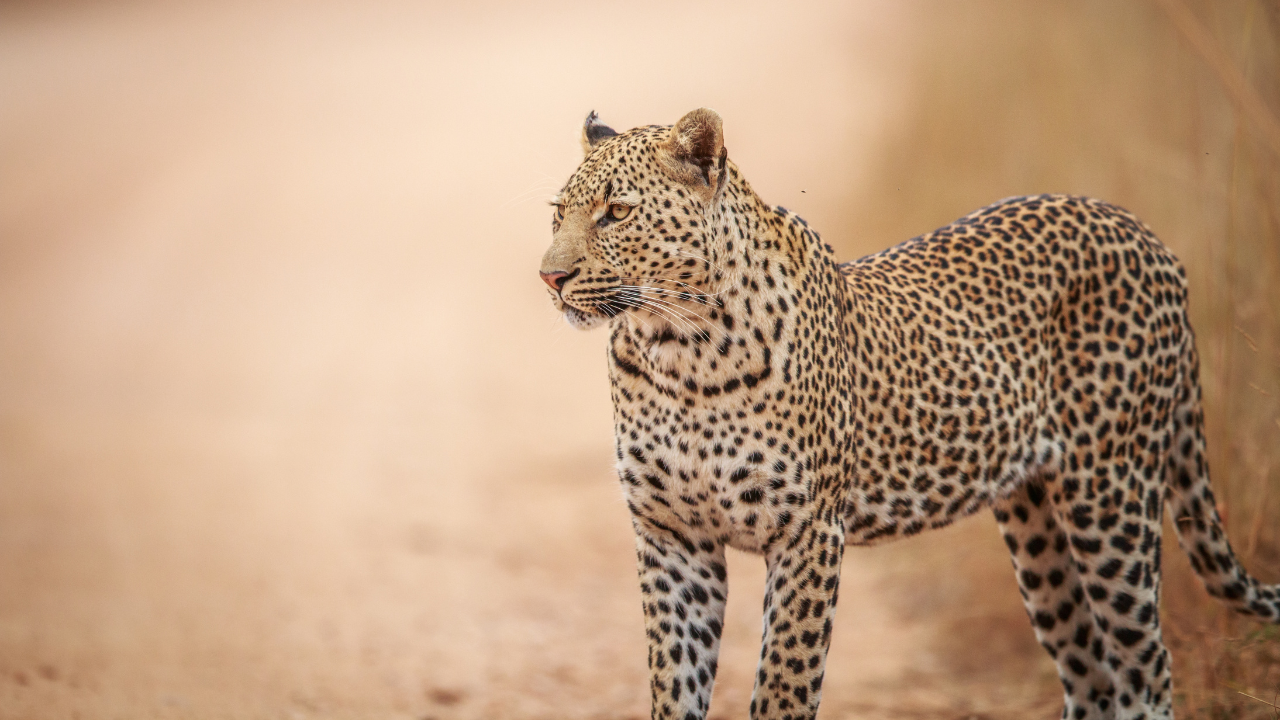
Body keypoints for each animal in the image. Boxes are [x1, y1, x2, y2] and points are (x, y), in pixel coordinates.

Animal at [535, 107, 1274, 717]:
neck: (676, 352)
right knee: (1092, 676)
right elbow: (674, 686)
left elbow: (783, 686)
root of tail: (1150, 237)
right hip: (1036, 525)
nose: (550, 277)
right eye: (557, 213)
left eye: (616, 212)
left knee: (1145, 666)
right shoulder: (672, 537)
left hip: (1111, 497)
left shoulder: (808, 534)